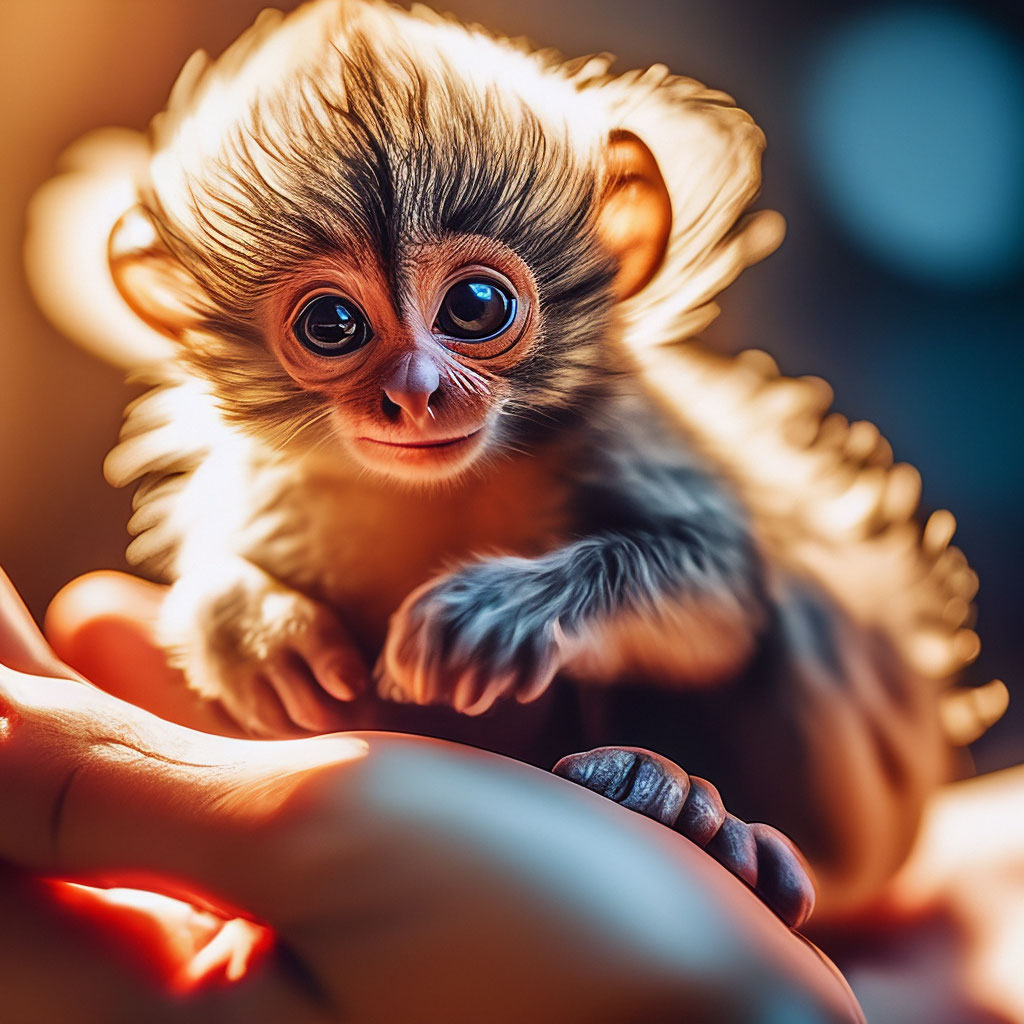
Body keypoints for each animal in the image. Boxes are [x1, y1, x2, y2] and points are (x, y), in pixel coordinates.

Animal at [25, 0, 1006, 922]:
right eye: (333, 324)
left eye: (476, 306)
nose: (415, 391)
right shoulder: (274, 481)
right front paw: (260, 635)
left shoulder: (618, 430)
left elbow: (725, 586)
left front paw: (501, 613)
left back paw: (703, 818)